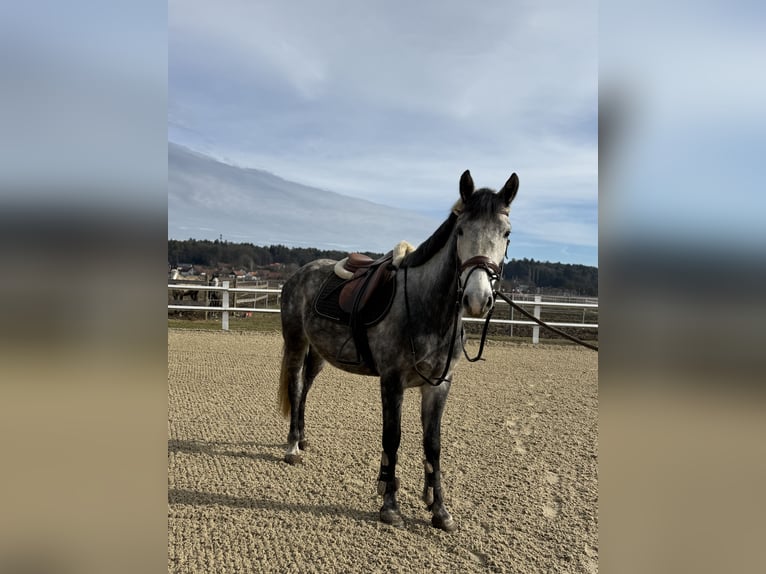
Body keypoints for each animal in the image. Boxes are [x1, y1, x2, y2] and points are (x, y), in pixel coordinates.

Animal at [277, 169, 519, 531]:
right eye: (462, 230)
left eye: (506, 233)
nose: (477, 299)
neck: (424, 306)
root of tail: (300, 273)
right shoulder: (392, 381)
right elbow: (393, 437)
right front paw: (389, 504)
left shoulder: (439, 385)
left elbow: (433, 445)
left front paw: (439, 510)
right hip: (296, 342)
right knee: (294, 386)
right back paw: (293, 446)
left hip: (319, 352)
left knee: (305, 387)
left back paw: (303, 438)